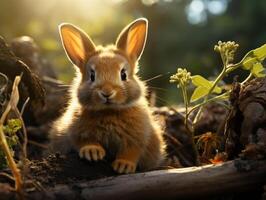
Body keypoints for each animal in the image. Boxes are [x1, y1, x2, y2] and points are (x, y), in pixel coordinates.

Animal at [50, 18, 165, 173]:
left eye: (123, 74)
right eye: (92, 76)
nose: (107, 93)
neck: (109, 111)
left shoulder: (138, 138)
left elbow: (131, 151)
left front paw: (123, 166)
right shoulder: (76, 131)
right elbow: (84, 141)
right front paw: (92, 152)